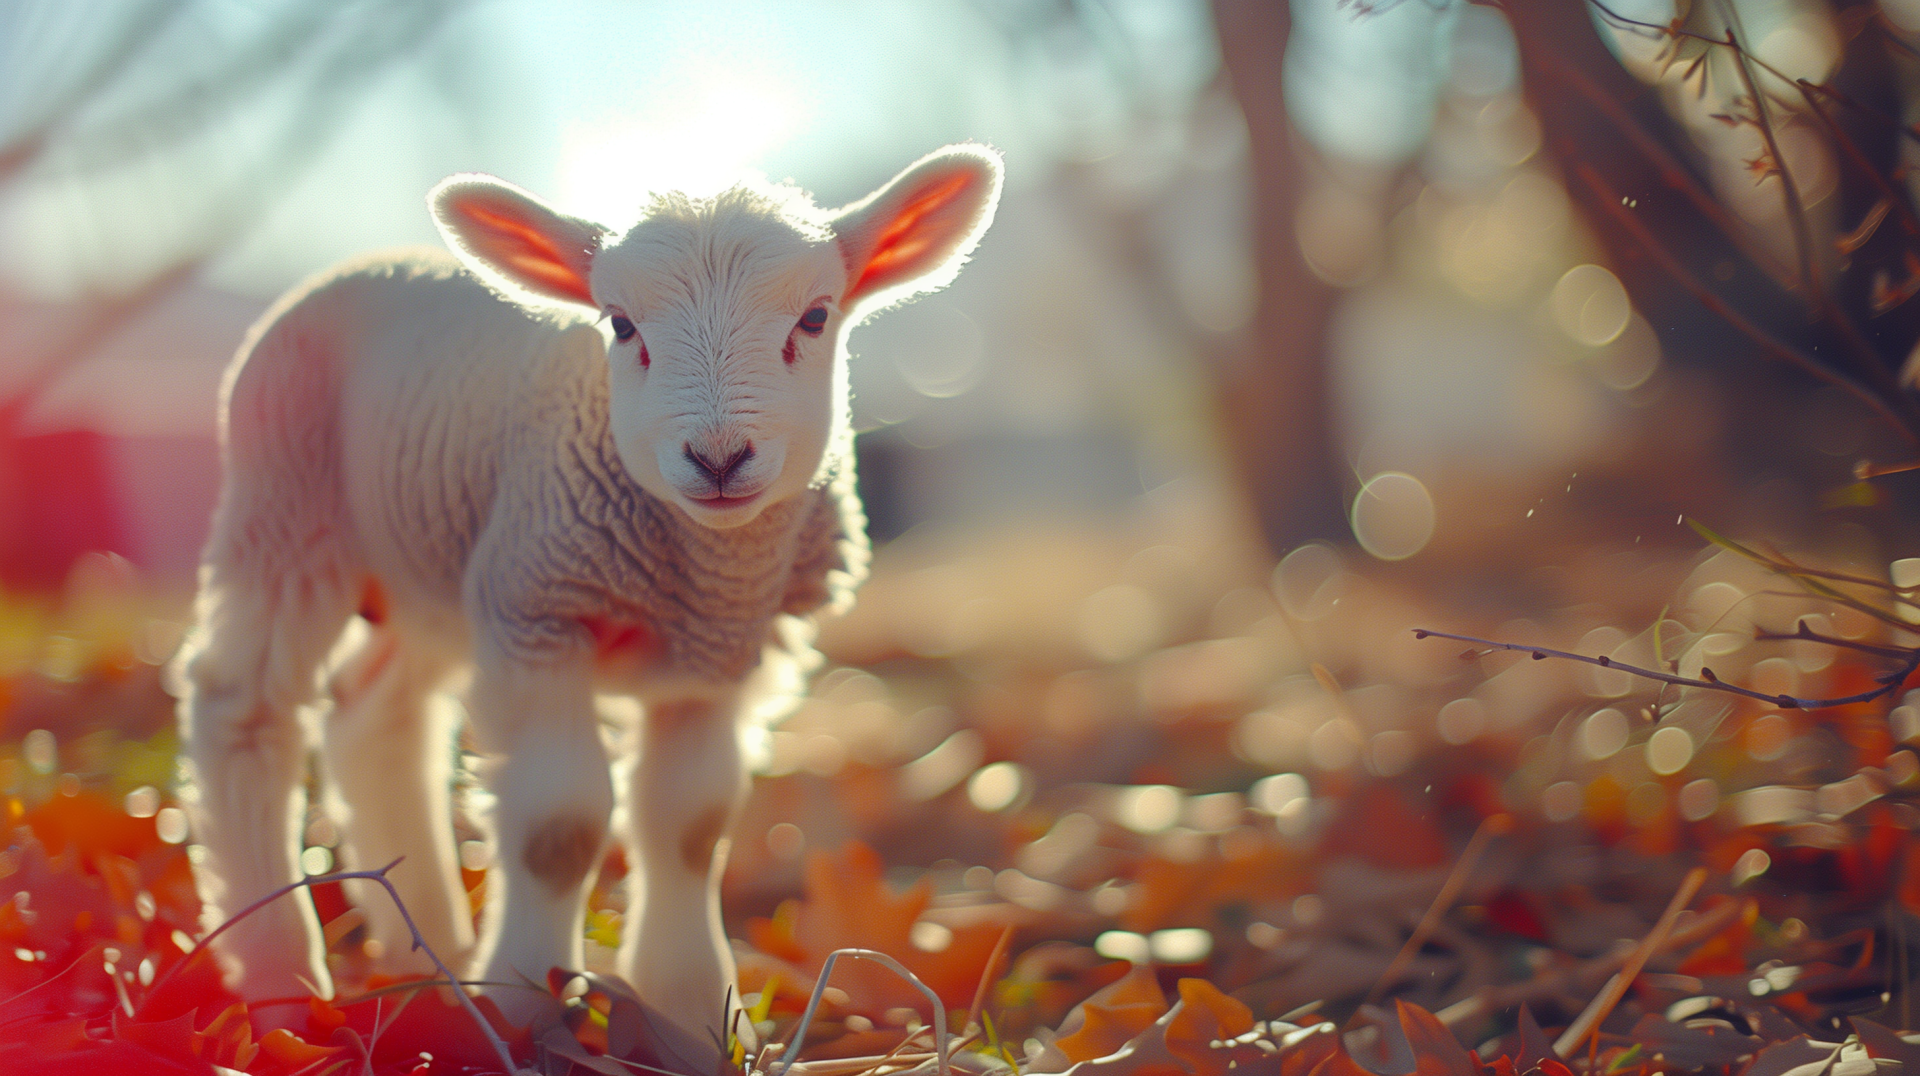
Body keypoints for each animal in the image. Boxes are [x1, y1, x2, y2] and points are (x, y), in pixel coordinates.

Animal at [171, 144, 1003, 1040]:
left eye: (815, 318)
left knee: (375, 719)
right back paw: (281, 980)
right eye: (621, 325)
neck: (697, 571)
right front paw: (523, 1004)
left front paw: (692, 1013)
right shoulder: (542, 612)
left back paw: (427, 954)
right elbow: (557, 828)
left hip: (436, 574)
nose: (718, 458)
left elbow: (690, 826)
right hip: (285, 502)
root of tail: (370, 262)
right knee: (244, 708)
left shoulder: (720, 655)